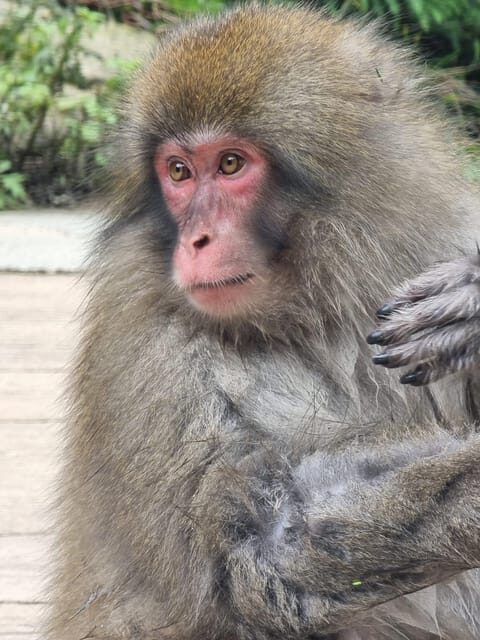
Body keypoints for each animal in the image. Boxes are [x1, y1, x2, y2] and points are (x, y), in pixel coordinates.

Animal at [45, 4, 480, 640]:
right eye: (179, 171)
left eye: (230, 164)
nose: (197, 240)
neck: (312, 307)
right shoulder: (147, 339)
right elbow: (259, 550)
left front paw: (473, 307)